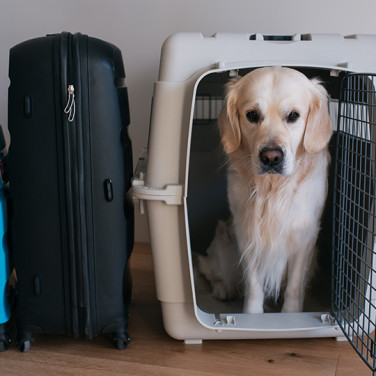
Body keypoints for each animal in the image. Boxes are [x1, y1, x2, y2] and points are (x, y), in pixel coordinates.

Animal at [197, 67, 332, 314]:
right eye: (252, 115)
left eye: (293, 116)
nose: (271, 158)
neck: (273, 187)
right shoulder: (247, 232)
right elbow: (253, 285)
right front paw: (252, 316)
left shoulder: (305, 236)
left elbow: (294, 287)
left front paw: (291, 315)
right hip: (223, 247)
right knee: (213, 272)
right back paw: (223, 290)